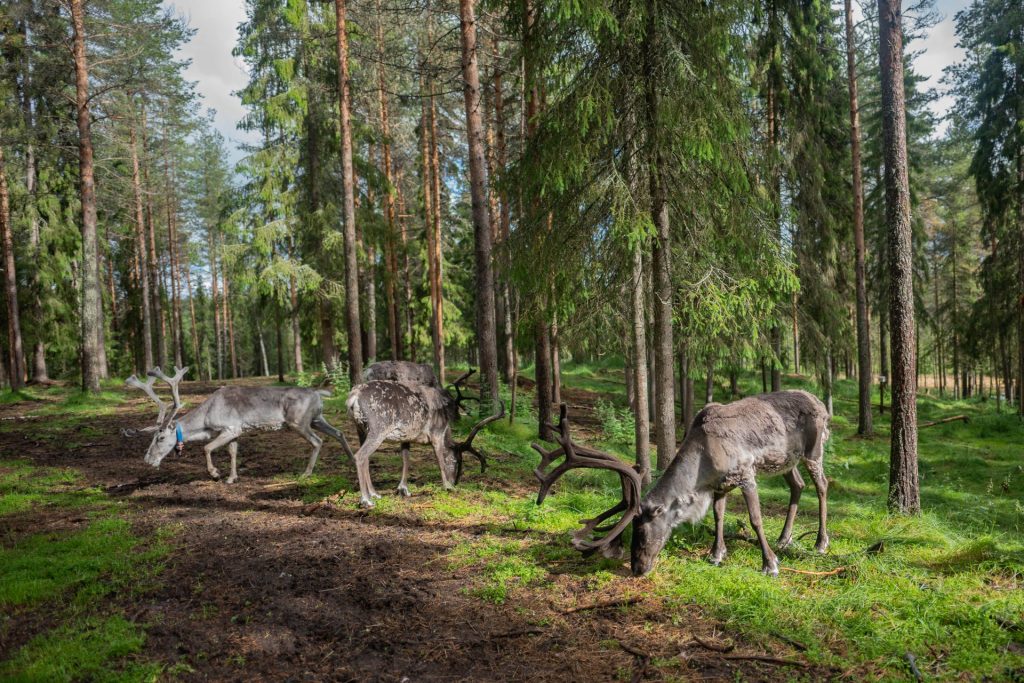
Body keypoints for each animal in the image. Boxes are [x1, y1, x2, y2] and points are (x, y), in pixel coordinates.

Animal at [125, 367, 353, 484]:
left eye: (160, 438)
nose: (147, 460)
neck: (205, 422)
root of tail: (318, 393)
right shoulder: (236, 432)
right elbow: (233, 452)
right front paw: (232, 477)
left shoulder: (230, 428)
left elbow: (207, 448)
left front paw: (215, 473)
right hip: (317, 418)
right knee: (339, 433)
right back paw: (351, 458)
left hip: (299, 421)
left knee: (317, 441)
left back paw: (306, 473)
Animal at [344, 379, 504, 507]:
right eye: (456, 461)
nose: (454, 482)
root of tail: (354, 396)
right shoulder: (436, 434)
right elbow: (440, 461)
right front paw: (447, 486)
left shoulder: (406, 437)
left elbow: (406, 460)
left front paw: (403, 489)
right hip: (378, 429)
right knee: (360, 456)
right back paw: (366, 500)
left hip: (361, 429)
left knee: (366, 458)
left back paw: (374, 493)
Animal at [533, 390, 830, 577]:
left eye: (642, 532)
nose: (637, 569)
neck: (702, 467)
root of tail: (823, 405)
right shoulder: (720, 485)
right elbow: (718, 516)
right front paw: (716, 554)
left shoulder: (746, 474)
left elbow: (755, 519)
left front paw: (769, 564)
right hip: (787, 461)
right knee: (798, 485)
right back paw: (784, 538)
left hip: (814, 451)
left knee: (822, 486)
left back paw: (820, 542)